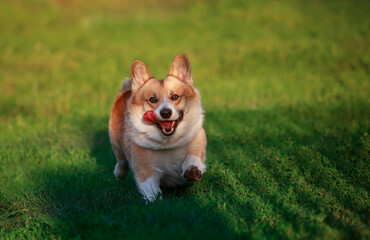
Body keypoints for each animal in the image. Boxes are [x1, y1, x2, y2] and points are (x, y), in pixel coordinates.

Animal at [108, 54, 207, 201]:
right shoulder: (145, 168)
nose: (165, 113)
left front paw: (192, 170)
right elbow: (151, 189)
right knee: (121, 161)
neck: (168, 143)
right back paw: (118, 173)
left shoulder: (197, 142)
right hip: (116, 143)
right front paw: (156, 202)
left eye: (175, 96)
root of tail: (127, 91)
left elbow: (193, 157)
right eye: (152, 100)